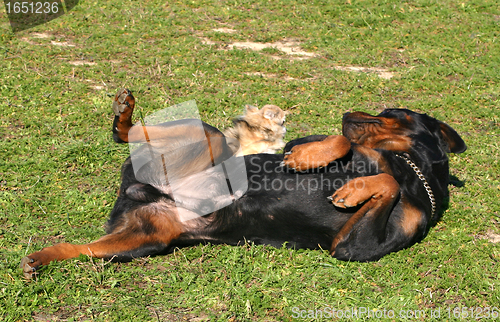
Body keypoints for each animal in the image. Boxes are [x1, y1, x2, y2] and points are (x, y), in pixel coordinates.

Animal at [18, 89, 464, 278]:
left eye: (391, 112)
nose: (346, 111)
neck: (408, 166)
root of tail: (142, 190)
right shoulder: (307, 141)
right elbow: (340, 145)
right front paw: (310, 161)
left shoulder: (354, 247)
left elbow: (385, 180)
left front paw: (354, 188)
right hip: (211, 138)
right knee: (128, 134)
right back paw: (124, 114)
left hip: (144, 241)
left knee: (81, 249)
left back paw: (40, 258)